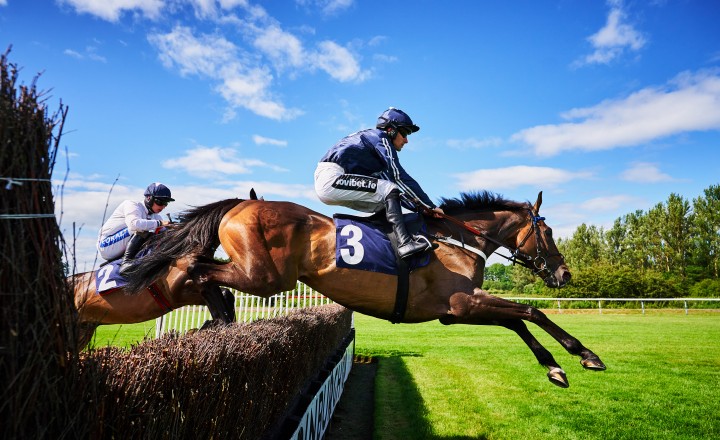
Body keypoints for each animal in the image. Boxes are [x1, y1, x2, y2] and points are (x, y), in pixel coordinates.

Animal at [125, 191, 608, 386]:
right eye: (548, 232)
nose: (565, 275)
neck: (458, 239)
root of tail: (241, 203)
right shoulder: (462, 302)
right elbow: (531, 311)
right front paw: (583, 353)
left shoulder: (457, 310)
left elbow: (518, 322)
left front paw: (554, 367)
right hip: (264, 277)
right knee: (198, 270)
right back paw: (222, 320)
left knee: (198, 268)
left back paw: (218, 323)